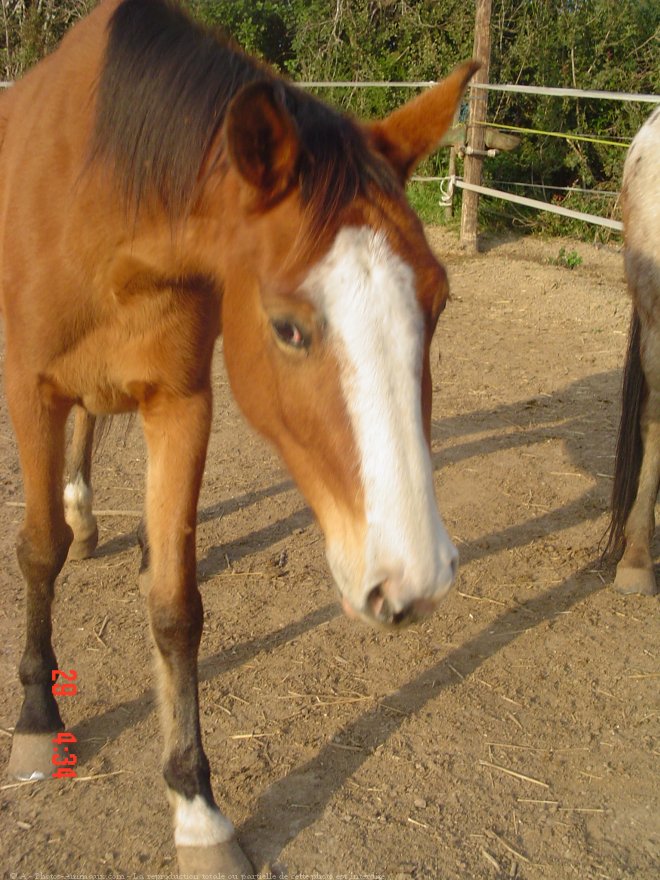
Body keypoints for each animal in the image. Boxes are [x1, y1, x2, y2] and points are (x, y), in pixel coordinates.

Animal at [0, 0, 474, 868]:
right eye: (288, 328)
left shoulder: (181, 402)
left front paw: (197, 810)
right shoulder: (30, 388)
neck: (98, 200)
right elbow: (38, 551)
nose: (414, 579)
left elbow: (175, 606)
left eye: (439, 298)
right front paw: (37, 721)